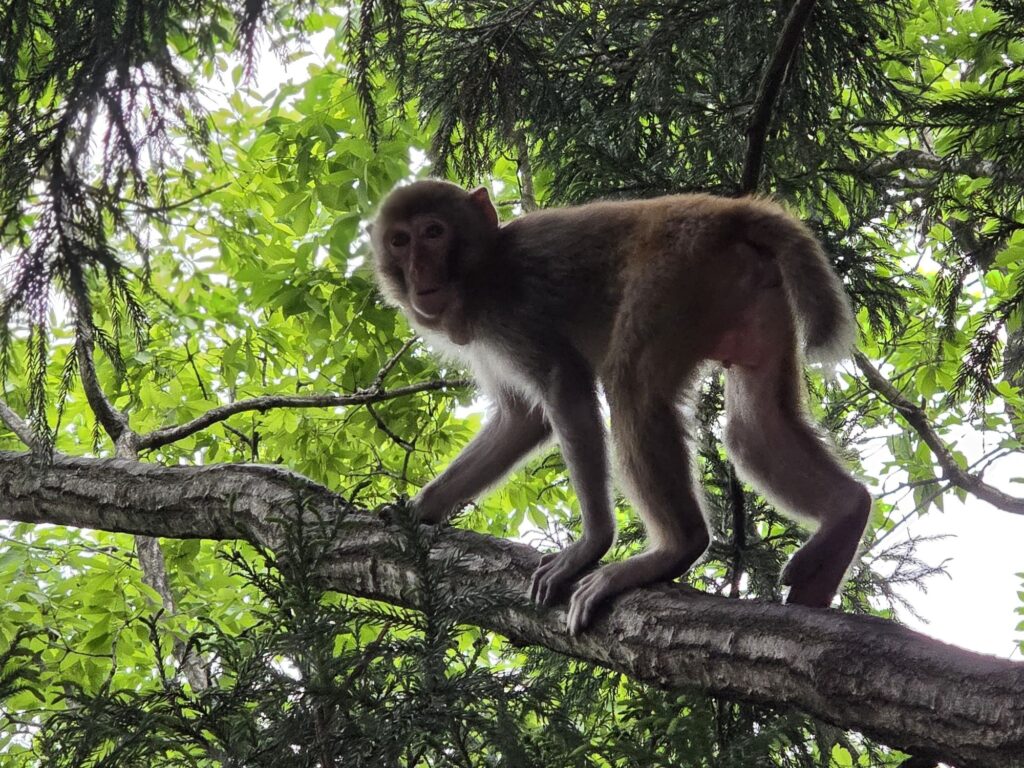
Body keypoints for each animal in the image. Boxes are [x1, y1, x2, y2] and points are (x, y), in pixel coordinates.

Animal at [369, 179, 871, 635]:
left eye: (434, 232)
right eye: (400, 241)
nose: (418, 269)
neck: (482, 269)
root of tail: (727, 211)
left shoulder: (510, 314)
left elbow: (565, 388)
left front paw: (591, 545)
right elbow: (521, 420)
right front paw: (422, 507)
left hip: (674, 274)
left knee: (632, 388)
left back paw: (675, 549)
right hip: (754, 293)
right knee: (754, 426)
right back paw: (847, 512)